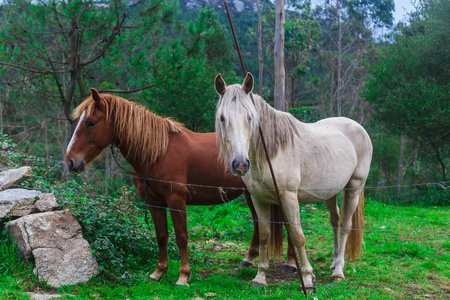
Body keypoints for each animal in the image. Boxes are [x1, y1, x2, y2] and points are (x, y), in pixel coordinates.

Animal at [66, 88, 292, 286]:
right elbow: (161, 236)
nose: (70, 161)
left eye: (91, 123)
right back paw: (248, 259)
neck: (159, 152)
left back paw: (290, 264)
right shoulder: (155, 203)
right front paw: (159, 272)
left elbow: (181, 237)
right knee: (258, 222)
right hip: (251, 194)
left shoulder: (176, 201)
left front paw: (183, 277)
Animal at [214, 73, 372, 292]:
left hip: (354, 187)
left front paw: (307, 279)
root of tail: (358, 127)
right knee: (335, 221)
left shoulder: (289, 197)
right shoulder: (258, 199)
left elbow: (298, 235)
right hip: (330, 192)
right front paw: (260, 277)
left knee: (346, 225)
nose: (240, 164)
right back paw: (333, 262)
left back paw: (338, 271)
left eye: (250, 117)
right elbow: (264, 234)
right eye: (222, 117)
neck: (270, 152)